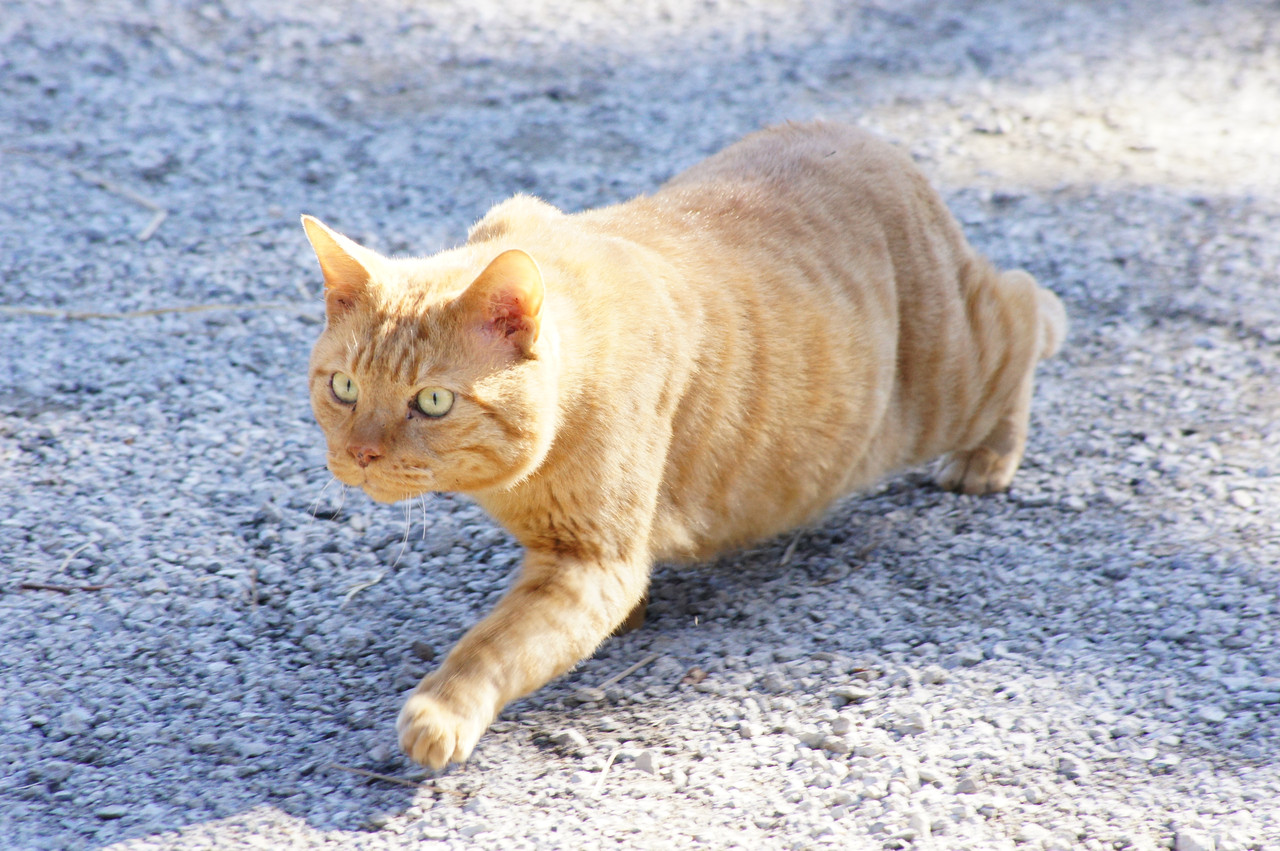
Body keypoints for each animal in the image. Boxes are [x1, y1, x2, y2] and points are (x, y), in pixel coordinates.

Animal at [301, 121, 1066, 769]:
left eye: (431, 401)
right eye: (344, 387)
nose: (361, 454)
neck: (515, 483)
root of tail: (876, 142)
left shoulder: (589, 563)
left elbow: (496, 645)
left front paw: (441, 710)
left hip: (950, 381)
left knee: (1027, 307)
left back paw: (987, 458)